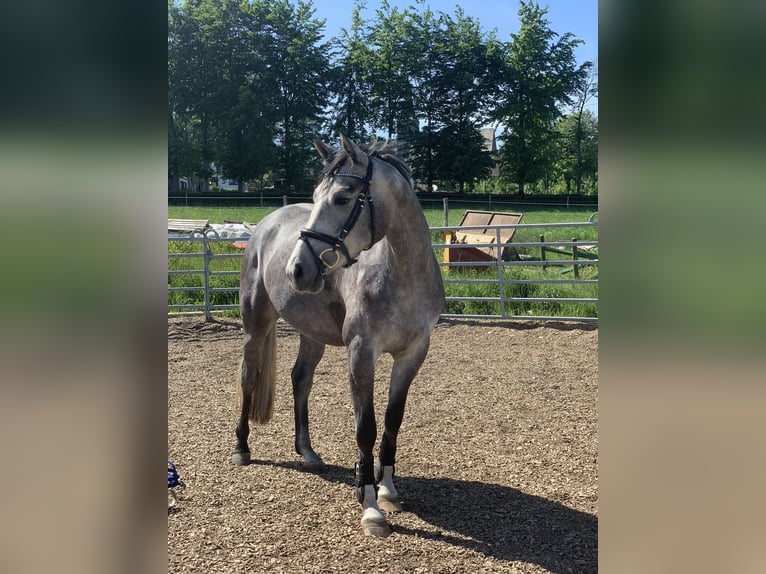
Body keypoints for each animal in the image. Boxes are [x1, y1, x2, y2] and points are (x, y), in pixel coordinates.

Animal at [232, 135, 444, 540]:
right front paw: (370, 506)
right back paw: (241, 448)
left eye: (343, 198)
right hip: (256, 325)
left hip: (311, 332)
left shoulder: (413, 354)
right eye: (317, 196)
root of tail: (265, 225)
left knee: (300, 380)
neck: (402, 274)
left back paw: (308, 453)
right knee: (249, 377)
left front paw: (387, 489)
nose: (297, 269)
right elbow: (366, 427)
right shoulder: (361, 353)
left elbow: (393, 420)